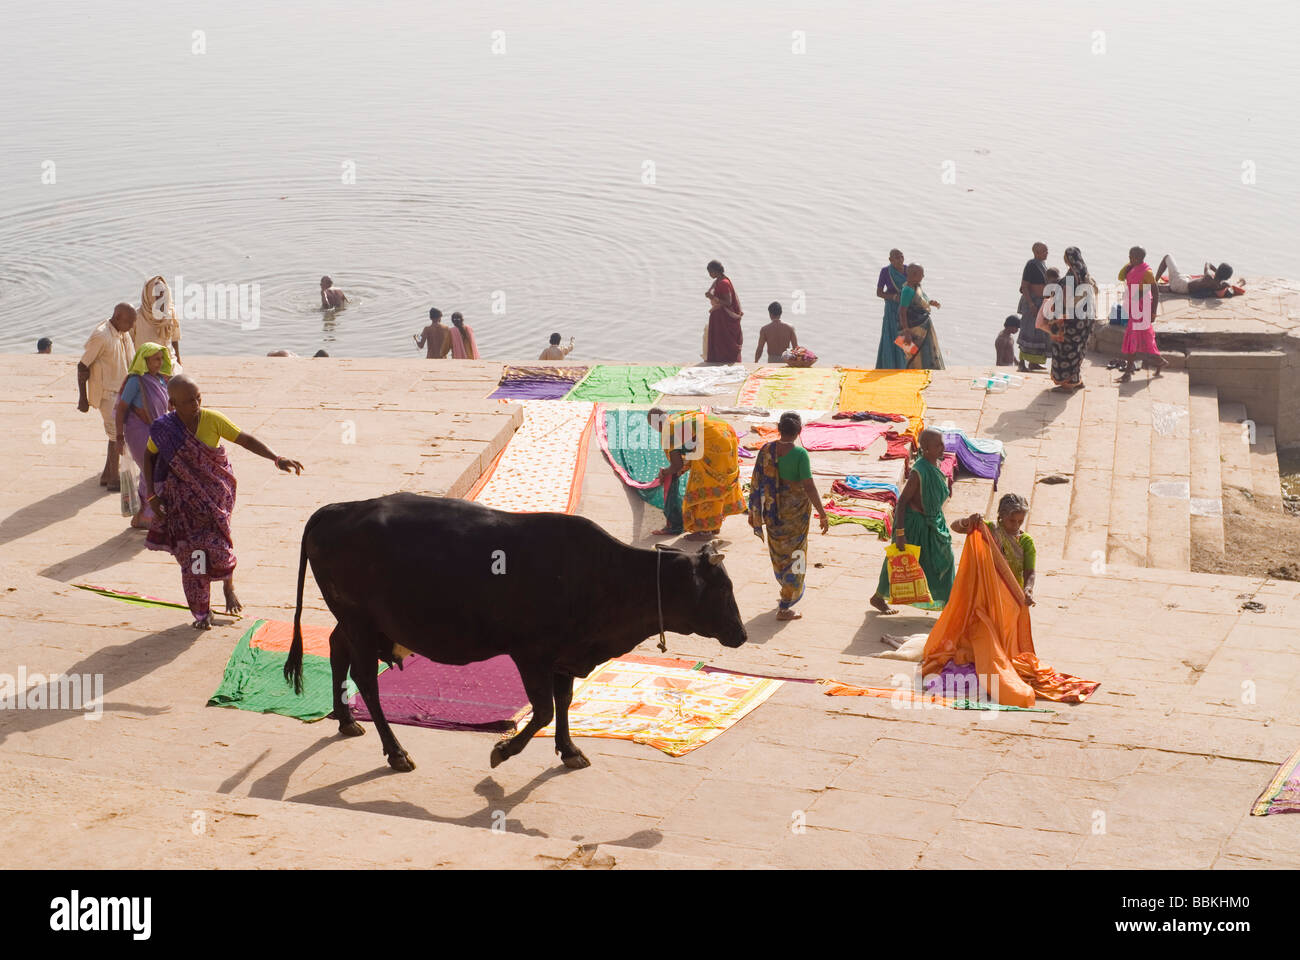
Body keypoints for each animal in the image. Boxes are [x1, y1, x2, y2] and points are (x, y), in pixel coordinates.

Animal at [288, 494, 748, 770]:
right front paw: (504, 750)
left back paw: (347, 721)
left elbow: (563, 702)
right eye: (722, 589)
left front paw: (570, 751)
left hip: (355, 622)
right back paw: (397, 753)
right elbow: (543, 710)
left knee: (336, 649)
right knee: (366, 679)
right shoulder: (531, 654)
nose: (741, 635)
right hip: (361, 623)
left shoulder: (565, 656)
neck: (605, 574)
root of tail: (338, 509)